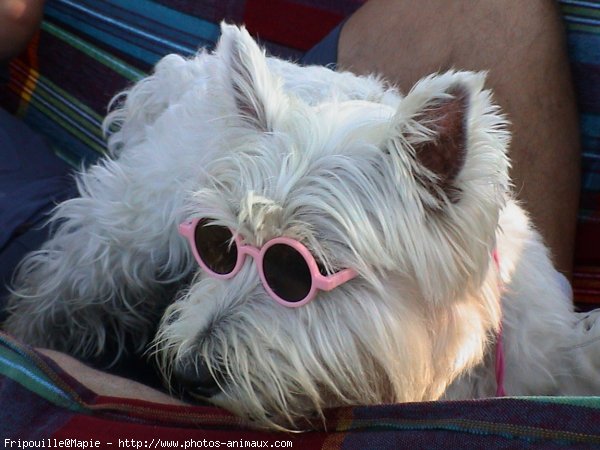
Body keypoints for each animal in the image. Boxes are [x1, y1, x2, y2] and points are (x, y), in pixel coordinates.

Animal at [4, 22, 600, 430]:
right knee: (58, 280)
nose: (193, 374)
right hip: (125, 231)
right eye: (219, 245)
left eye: (297, 271)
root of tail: (192, 70)